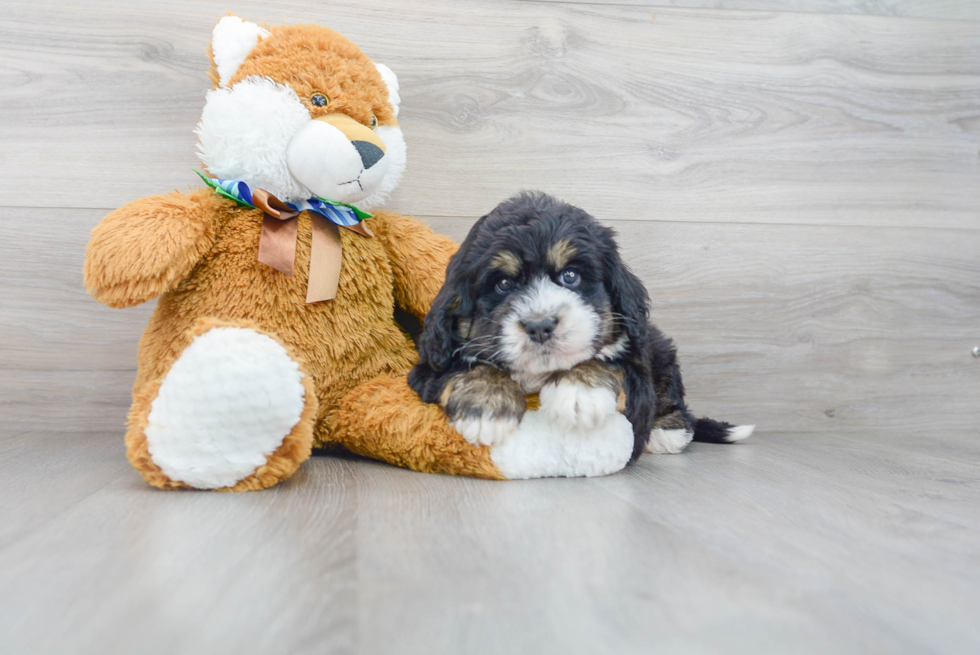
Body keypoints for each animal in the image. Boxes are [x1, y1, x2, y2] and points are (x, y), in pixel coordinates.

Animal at [410, 190, 756, 458]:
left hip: (660, 349)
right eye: (504, 284)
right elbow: (468, 366)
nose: (540, 325)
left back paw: (666, 432)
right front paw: (486, 405)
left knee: (672, 396)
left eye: (570, 276)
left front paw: (579, 391)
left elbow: (608, 363)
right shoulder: (428, 367)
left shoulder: (636, 370)